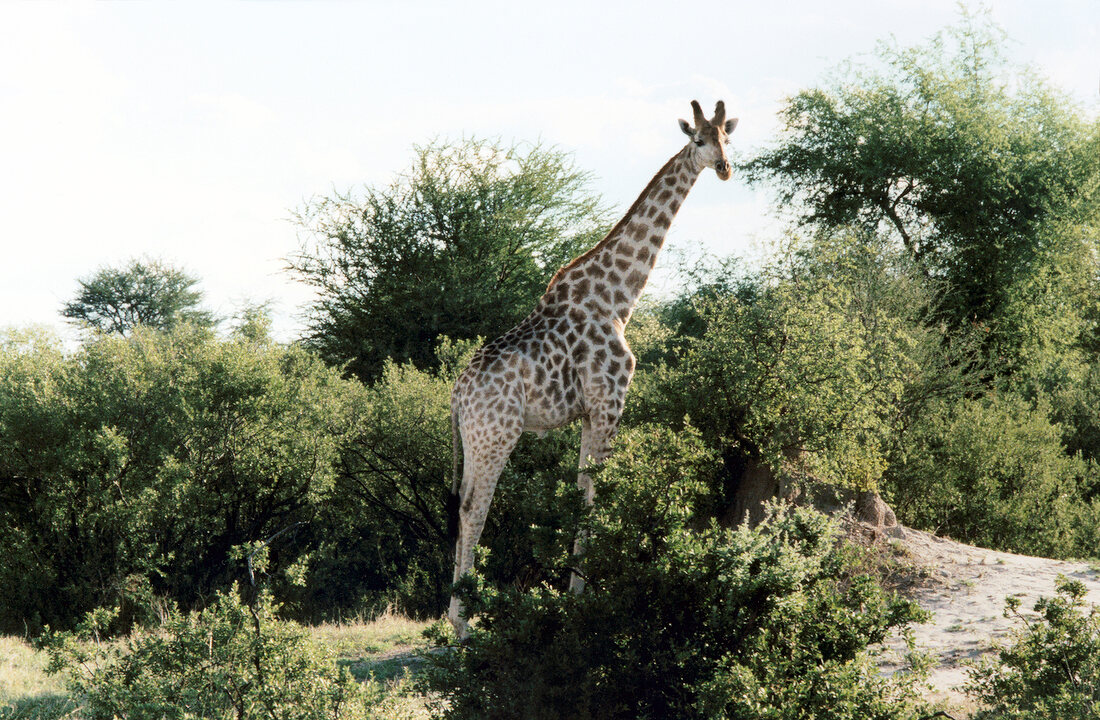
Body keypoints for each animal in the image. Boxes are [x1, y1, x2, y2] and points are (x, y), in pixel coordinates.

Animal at [442, 100, 734, 637]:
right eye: (699, 140)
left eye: (727, 137)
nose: (724, 168)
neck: (619, 297)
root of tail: (455, 395)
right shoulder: (609, 401)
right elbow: (594, 496)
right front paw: (583, 600)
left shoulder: (586, 411)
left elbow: (580, 494)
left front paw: (571, 596)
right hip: (498, 436)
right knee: (475, 508)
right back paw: (463, 625)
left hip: (474, 438)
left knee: (463, 503)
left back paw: (456, 615)